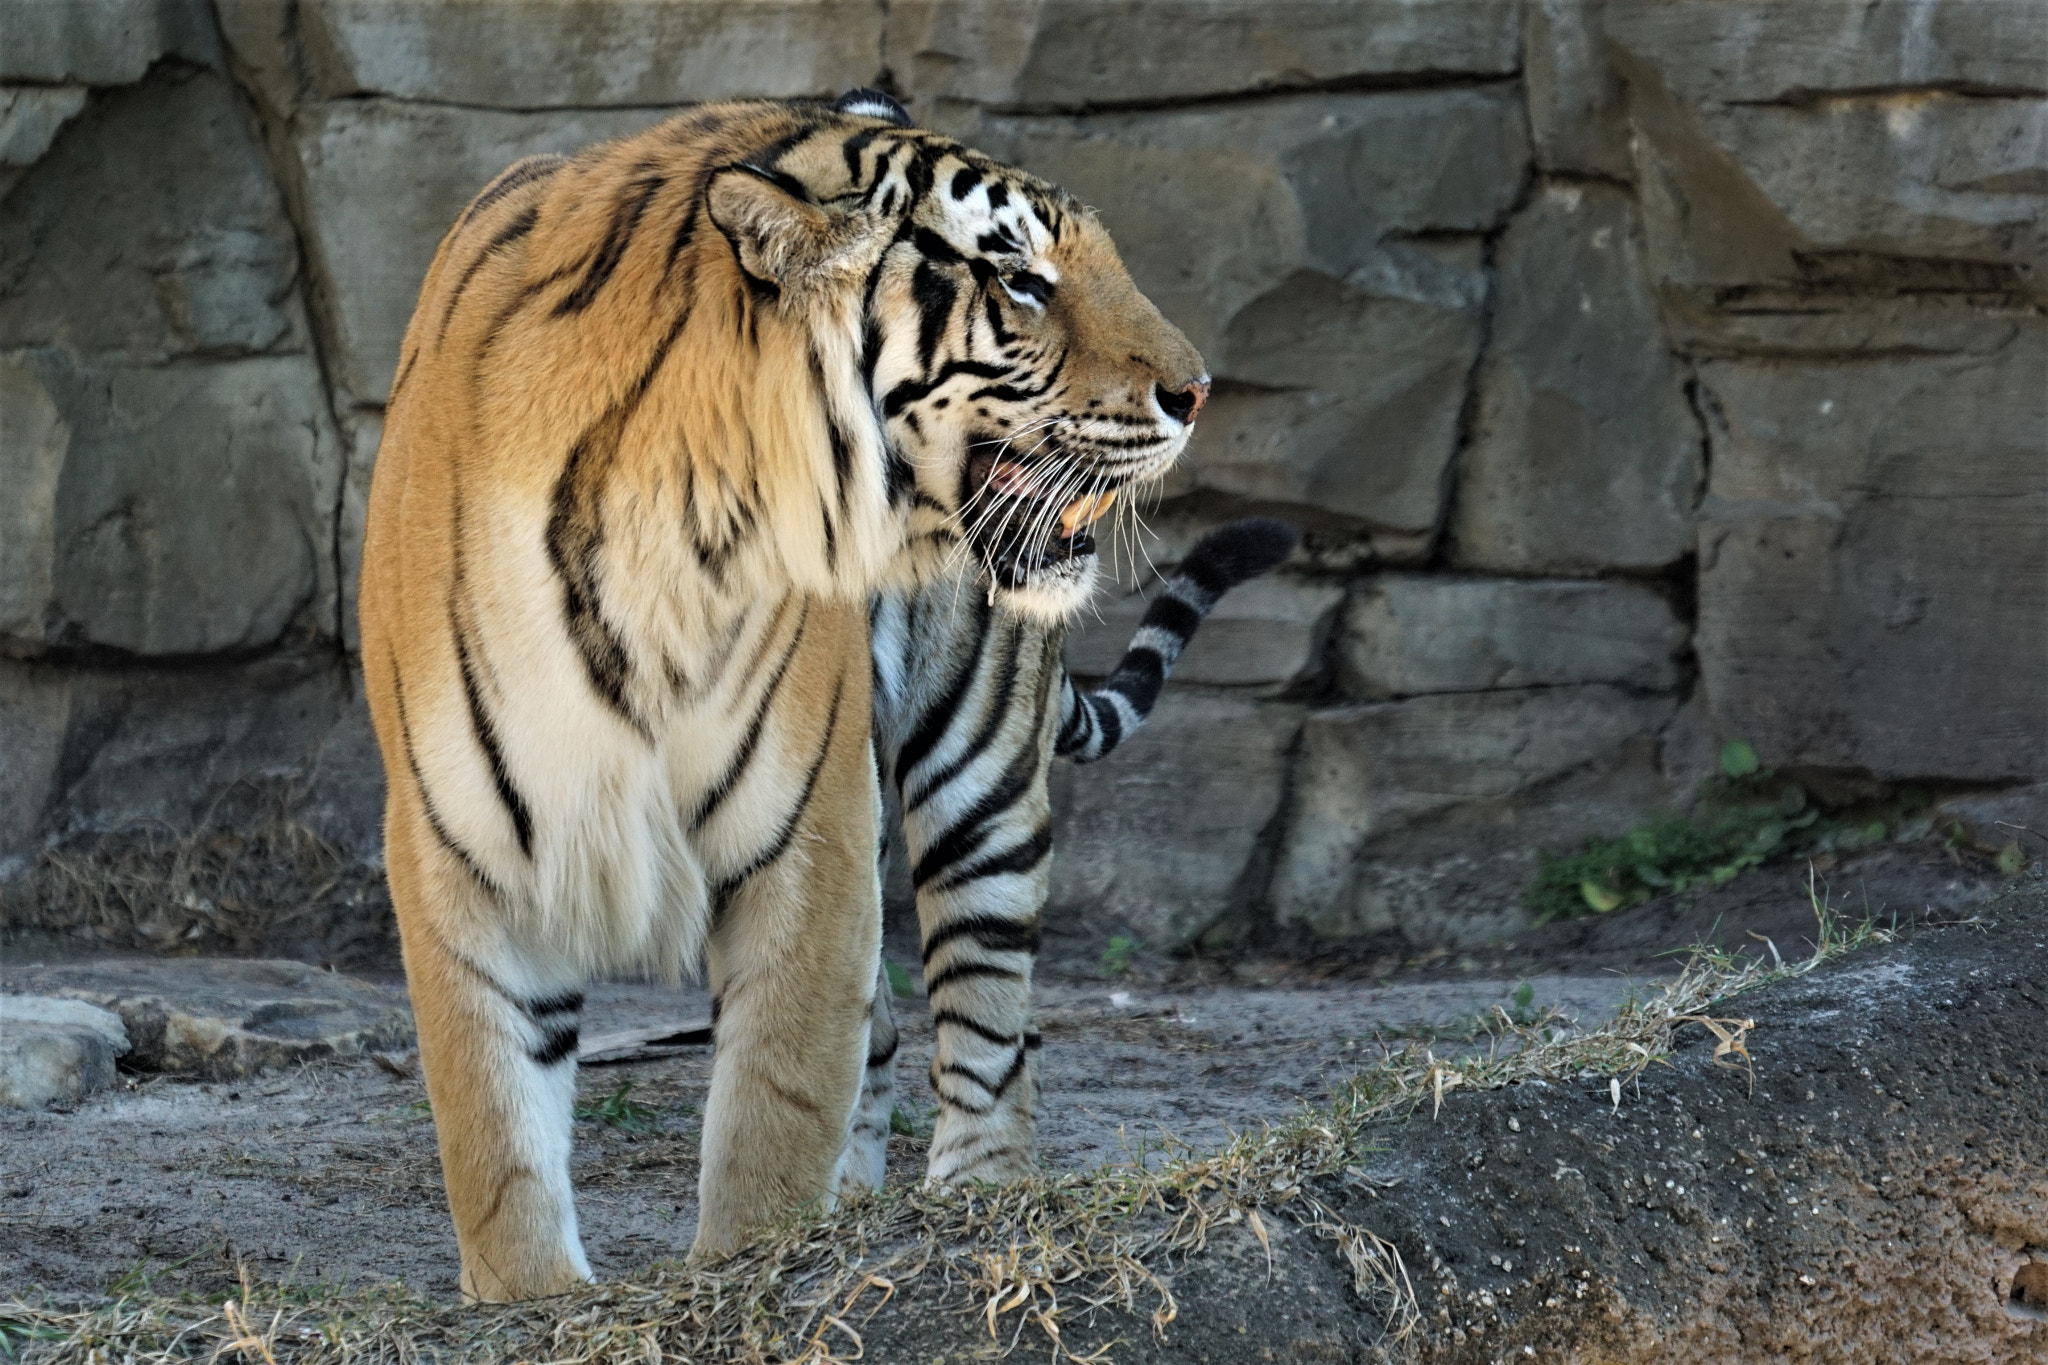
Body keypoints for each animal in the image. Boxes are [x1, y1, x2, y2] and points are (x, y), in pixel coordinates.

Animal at [358, 86, 1214, 1301]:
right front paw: (534, 1298)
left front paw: (750, 1266)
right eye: (1021, 279)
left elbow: (775, 1102)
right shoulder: (458, 845)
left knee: (990, 1021)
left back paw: (979, 1200)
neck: (669, 526)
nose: (1197, 390)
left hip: (978, 763)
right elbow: (493, 1129)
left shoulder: (806, 831)